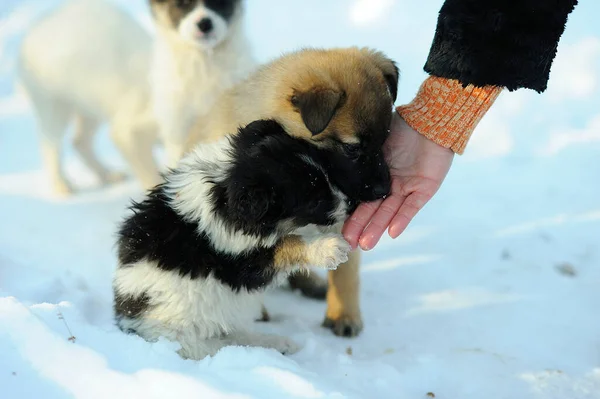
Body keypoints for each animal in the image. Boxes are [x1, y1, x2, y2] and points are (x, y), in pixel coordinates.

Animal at [112, 120, 390, 360]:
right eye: (315, 201)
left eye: (328, 176)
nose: (353, 205)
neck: (224, 187)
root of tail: (129, 322)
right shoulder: (238, 261)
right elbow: (287, 243)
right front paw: (330, 247)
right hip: (178, 328)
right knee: (209, 345)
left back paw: (277, 343)